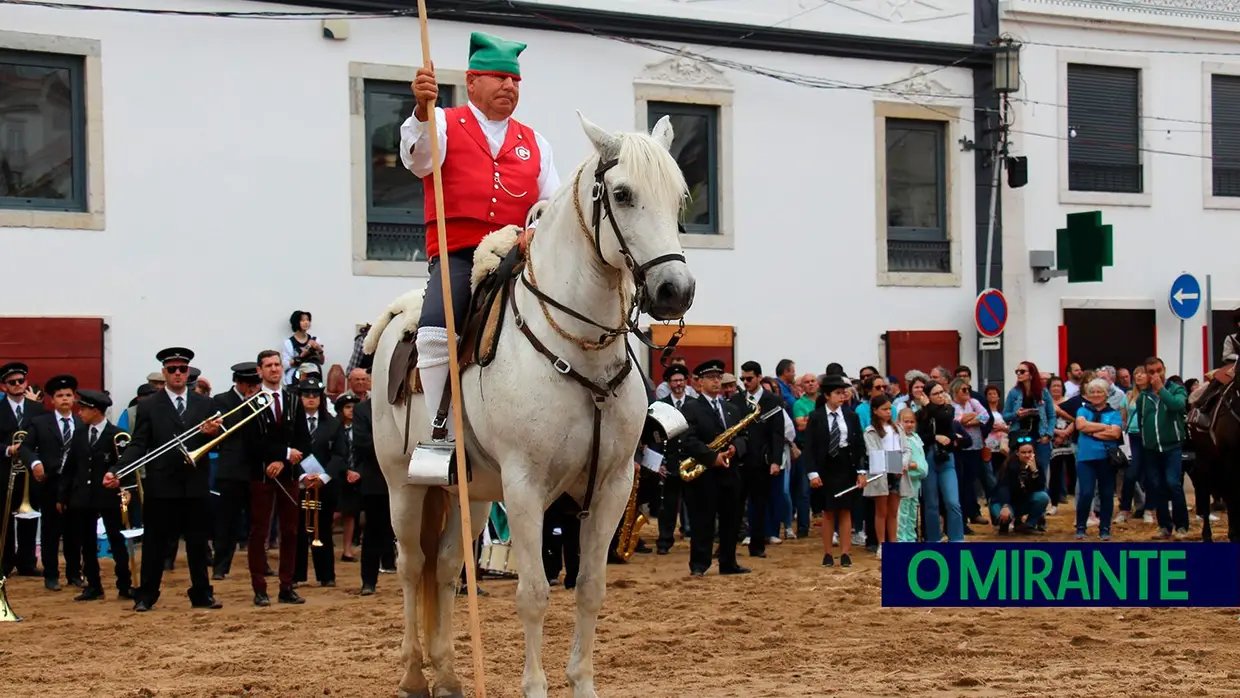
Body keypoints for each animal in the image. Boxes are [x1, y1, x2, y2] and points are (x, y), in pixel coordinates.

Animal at [364, 112, 699, 694]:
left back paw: (448, 674)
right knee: (410, 565)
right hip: (402, 485)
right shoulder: (525, 487)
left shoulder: (612, 486)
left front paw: (582, 683)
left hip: (471, 493)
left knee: (445, 566)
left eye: (679, 197)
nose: (674, 290)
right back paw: (412, 675)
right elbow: (534, 594)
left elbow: (590, 587)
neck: (580, 348)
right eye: (622, 193)